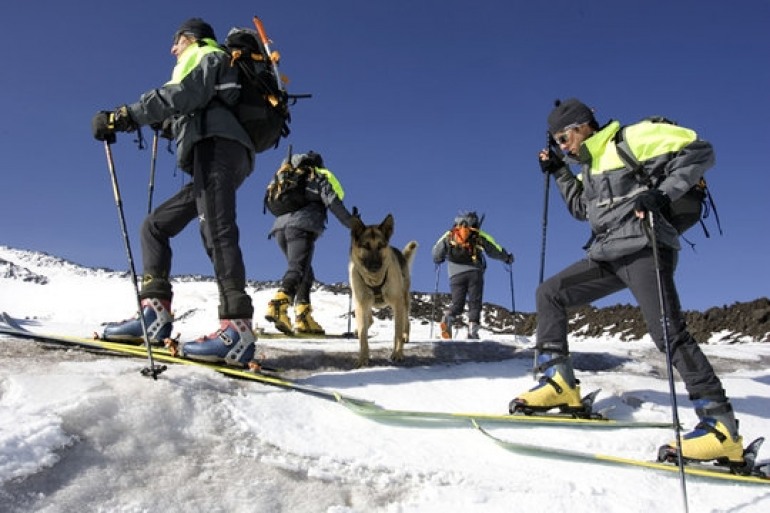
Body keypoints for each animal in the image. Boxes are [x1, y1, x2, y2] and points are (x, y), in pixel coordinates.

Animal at [350, 214, 416, 366]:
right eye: (366, 246)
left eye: (380, 246)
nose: (375, 265)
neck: (374, 280)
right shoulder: (361, 304)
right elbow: (363, 335)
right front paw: (363, 358)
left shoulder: (397, 304)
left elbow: (397, 332)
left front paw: (397, 353)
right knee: (369, 320)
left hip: (404, 300)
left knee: (406, 321)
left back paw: (405, 335)